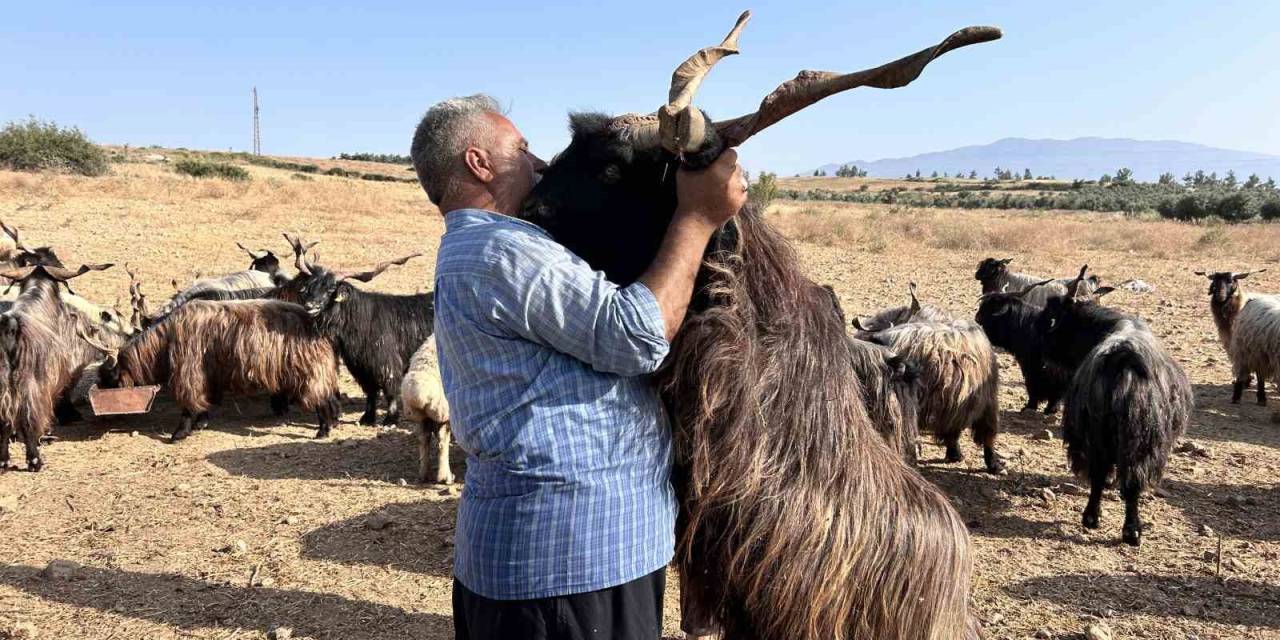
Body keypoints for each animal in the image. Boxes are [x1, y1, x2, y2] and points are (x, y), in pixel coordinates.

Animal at [95, 298, 343, 440]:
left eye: (110, 377)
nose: (107, 418)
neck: (164, 341)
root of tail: (317, 326)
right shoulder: (207, 374)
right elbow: (203, 401)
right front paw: (201, 423)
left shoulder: (189, 372)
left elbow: (188, 404)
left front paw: (179, 433)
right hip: (318, 370)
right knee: (330, 397)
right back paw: (331, 424)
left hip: (309, 370)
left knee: (321, 399)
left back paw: (322, 431)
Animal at [1034, 264, 1192, 545]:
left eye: (1052, 312)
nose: (1039, 340)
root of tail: (1124, 358)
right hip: (1131, 440)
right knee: (1122, 479)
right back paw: (1119, 526)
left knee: (1108, 475)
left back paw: (1108, 523)